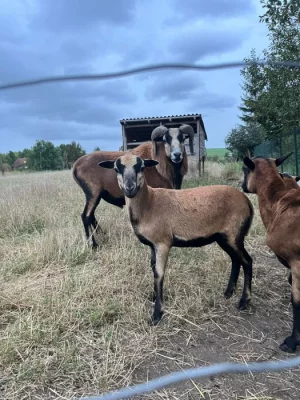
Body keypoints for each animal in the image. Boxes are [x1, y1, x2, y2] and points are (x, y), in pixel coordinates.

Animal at [99, 153, 254, 324]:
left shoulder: (163, 243)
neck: (149, 203)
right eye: (116, 169)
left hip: (234, 234)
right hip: (224, 237)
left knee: (247, 261)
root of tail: (246, 201)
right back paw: (228, 293)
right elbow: (153, 268)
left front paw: (157, 314)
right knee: (236, 260)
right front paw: (154, 297)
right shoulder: (153, 245)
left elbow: (159, 274)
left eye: (141, 167)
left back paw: (244, 301)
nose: (130, 188)